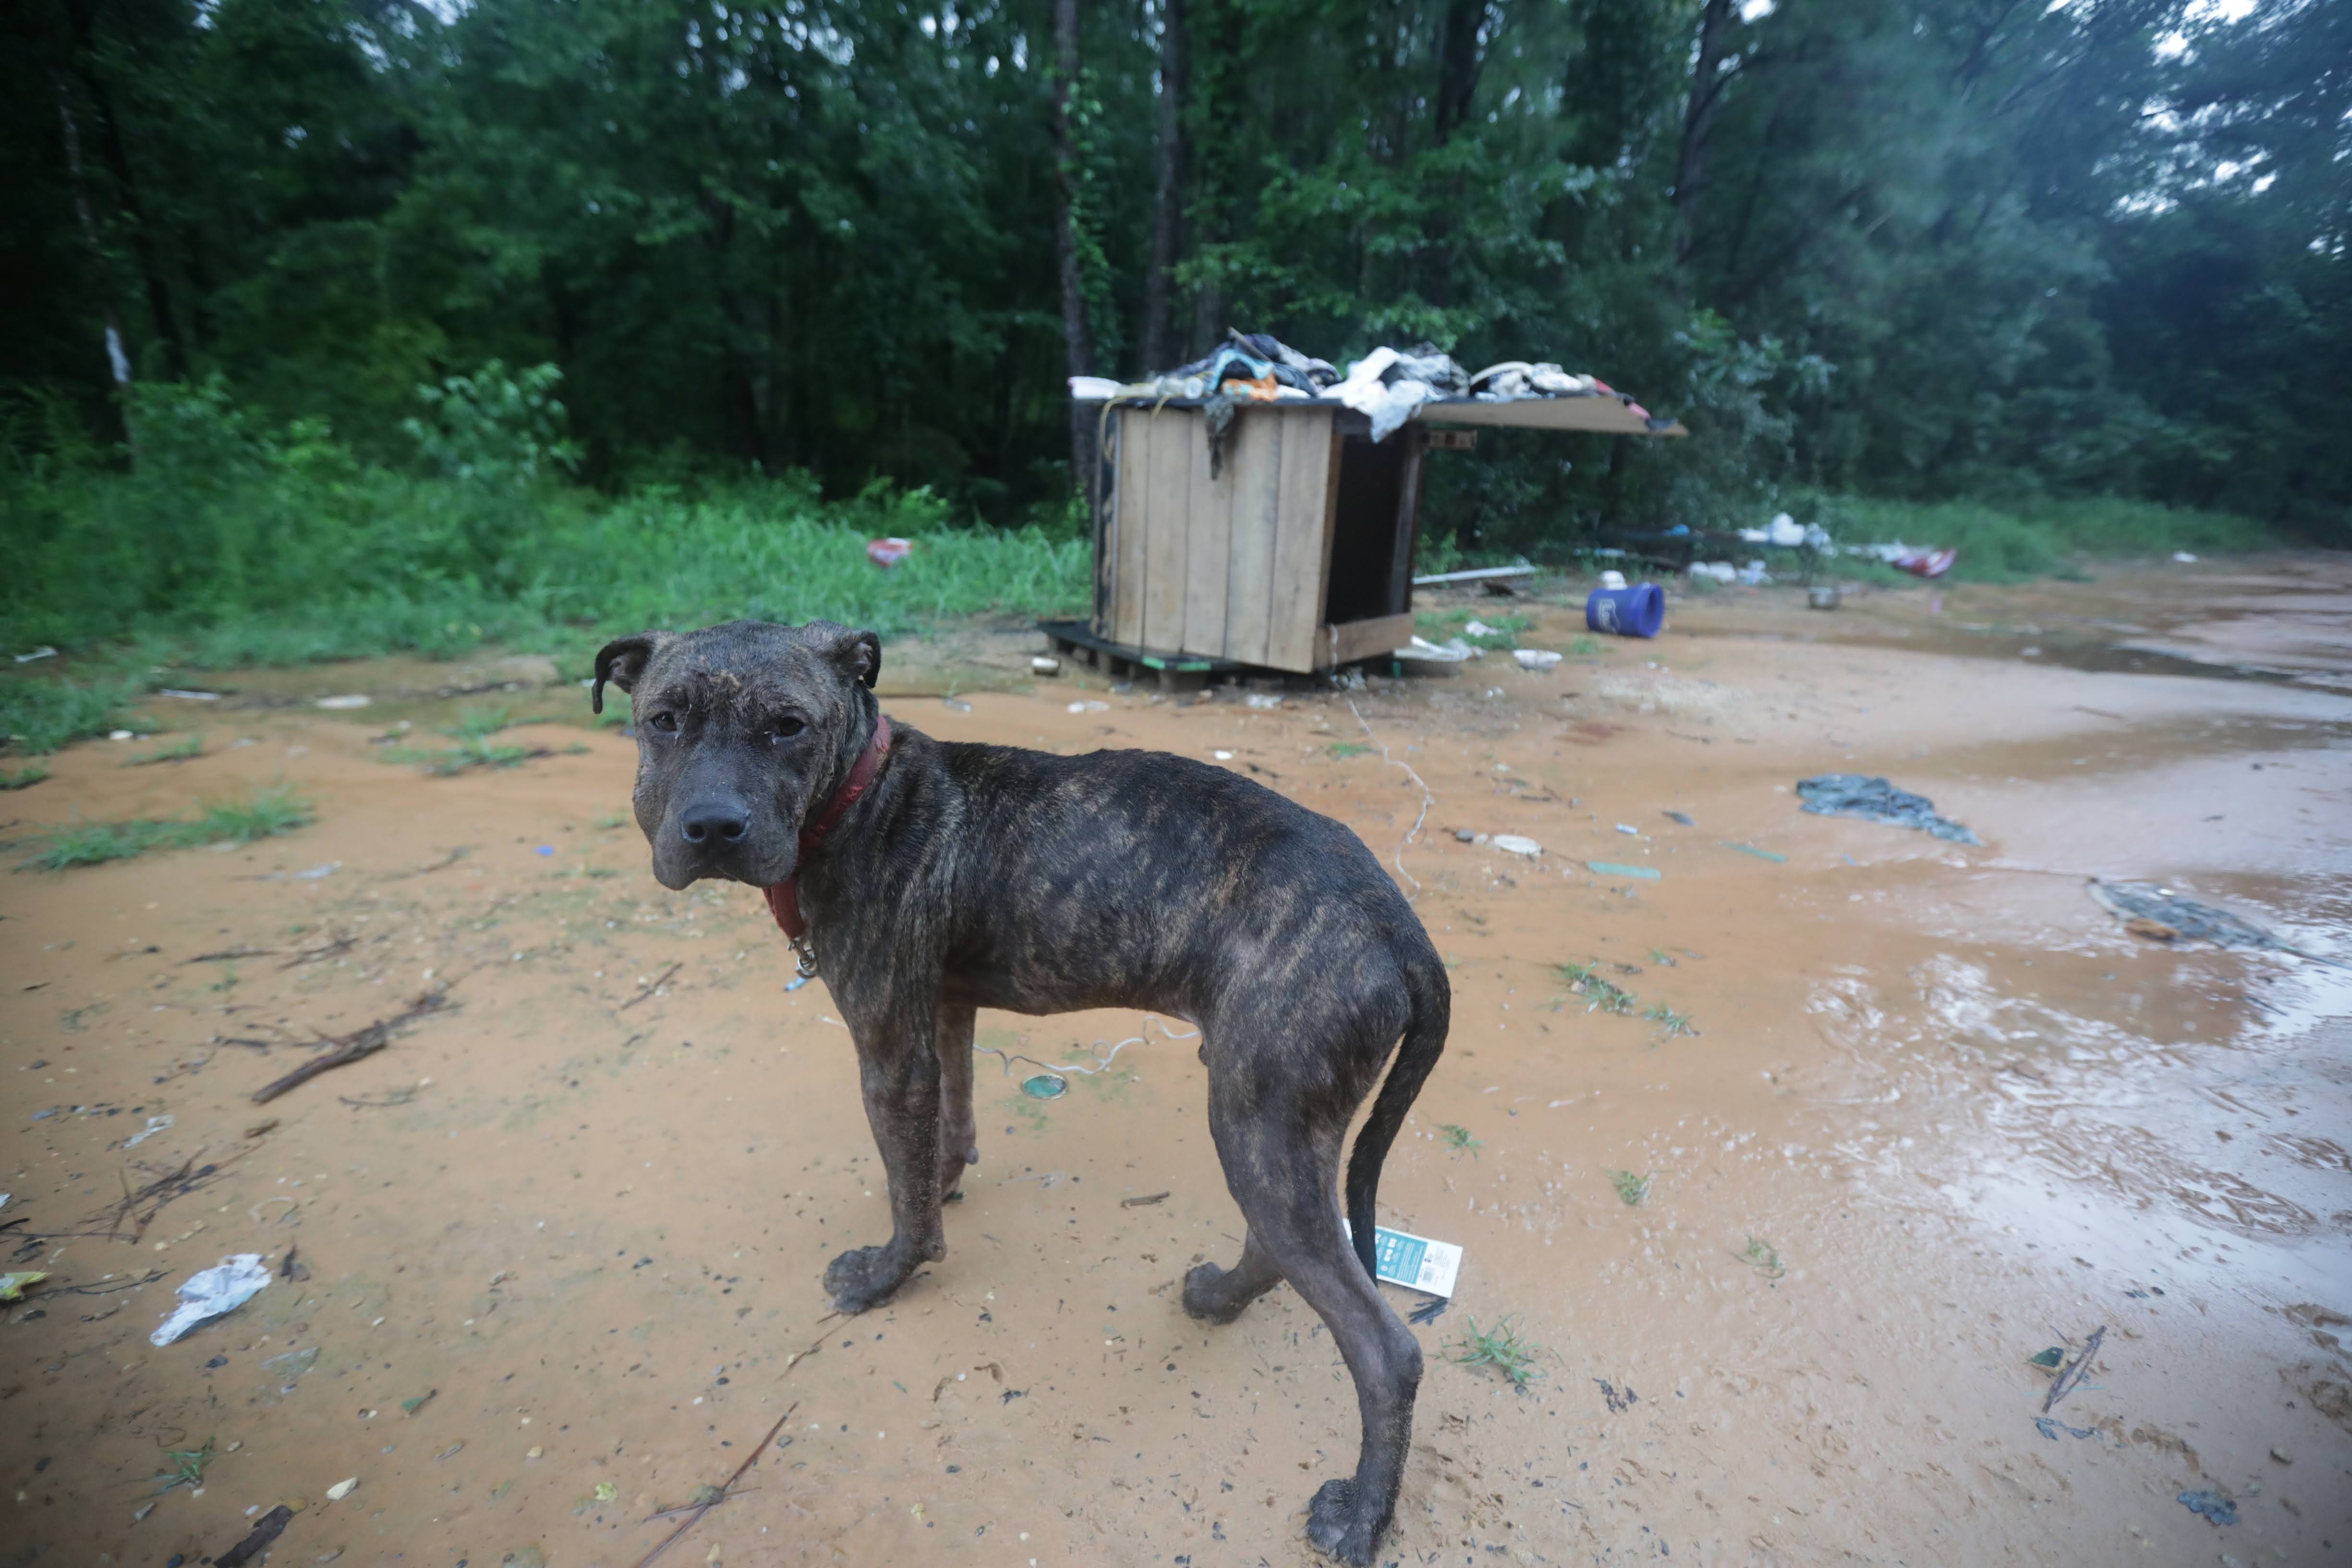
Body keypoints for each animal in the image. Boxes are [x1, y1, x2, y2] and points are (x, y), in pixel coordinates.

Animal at [593, 620, 1449, 1561]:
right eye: (663, 720)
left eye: (788, 726)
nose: (714, 827)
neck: (860, 792)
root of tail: (1392, 919)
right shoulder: (943, 1009)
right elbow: (946, 1130)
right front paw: (939, 1183)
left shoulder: (888, 1046)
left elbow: (907, 1190)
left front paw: (889, 1273)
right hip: (1272, 1117)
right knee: (1278, 1243)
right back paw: (1217, 1299)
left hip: (1259, 1119)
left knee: (1383, 1350)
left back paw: (1360, 1515)